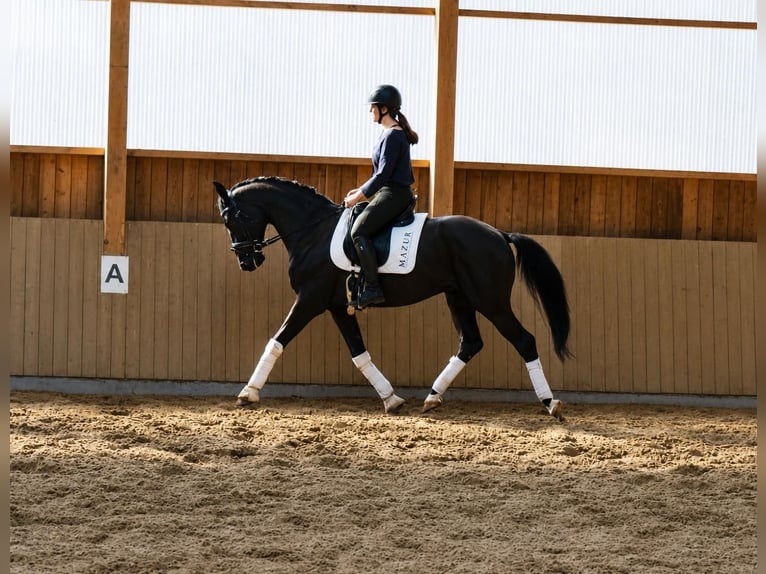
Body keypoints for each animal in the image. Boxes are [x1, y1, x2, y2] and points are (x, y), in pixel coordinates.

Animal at [214, 176, 571, 420]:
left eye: (231, 219)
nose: (247, 262)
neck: (313, 232)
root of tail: (499, 234)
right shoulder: (337, 306)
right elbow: (359, 354)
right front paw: (391, 399)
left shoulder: (310, 299)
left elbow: (277, 340)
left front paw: (248, 393)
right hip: (459, 298)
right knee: (470, 343)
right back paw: (432, 398)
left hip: (490, 301)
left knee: (523, 340)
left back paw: (550, 403)